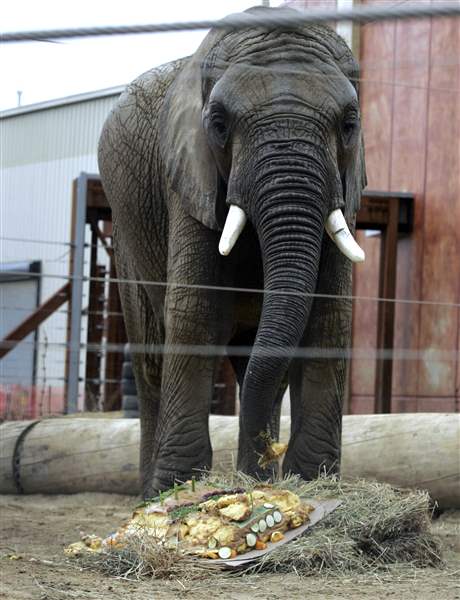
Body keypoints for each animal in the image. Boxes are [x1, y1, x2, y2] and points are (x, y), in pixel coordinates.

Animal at [99, 7, 366, 500]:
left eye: (349, 124)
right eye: (219, 123)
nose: (267, 462)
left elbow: (330, 317)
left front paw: (312, 484)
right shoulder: (188, 177)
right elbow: (196, 312)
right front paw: (179, 488)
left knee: (254, 365)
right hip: (126, 235)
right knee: (150, 359)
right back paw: (151, 494)